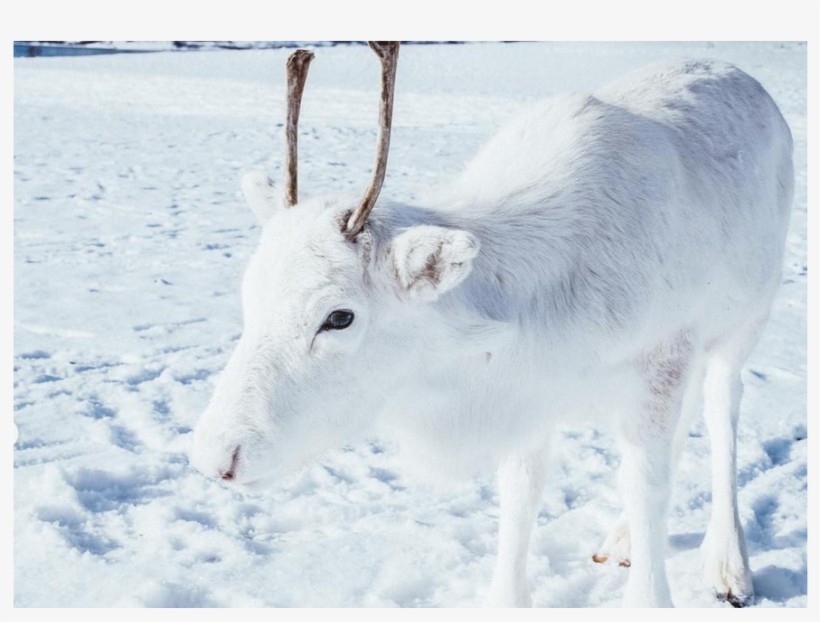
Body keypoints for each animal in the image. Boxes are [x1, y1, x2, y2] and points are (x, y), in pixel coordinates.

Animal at [191, 42, 794, 608]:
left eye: (339, 317)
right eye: (249, 295)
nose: (216, 458)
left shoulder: (660, 360)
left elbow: (647, 486)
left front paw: (651, 595)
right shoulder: (531, 395)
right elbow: (521, 493)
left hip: (746, 322)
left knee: (721, 411)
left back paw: (729, 564)